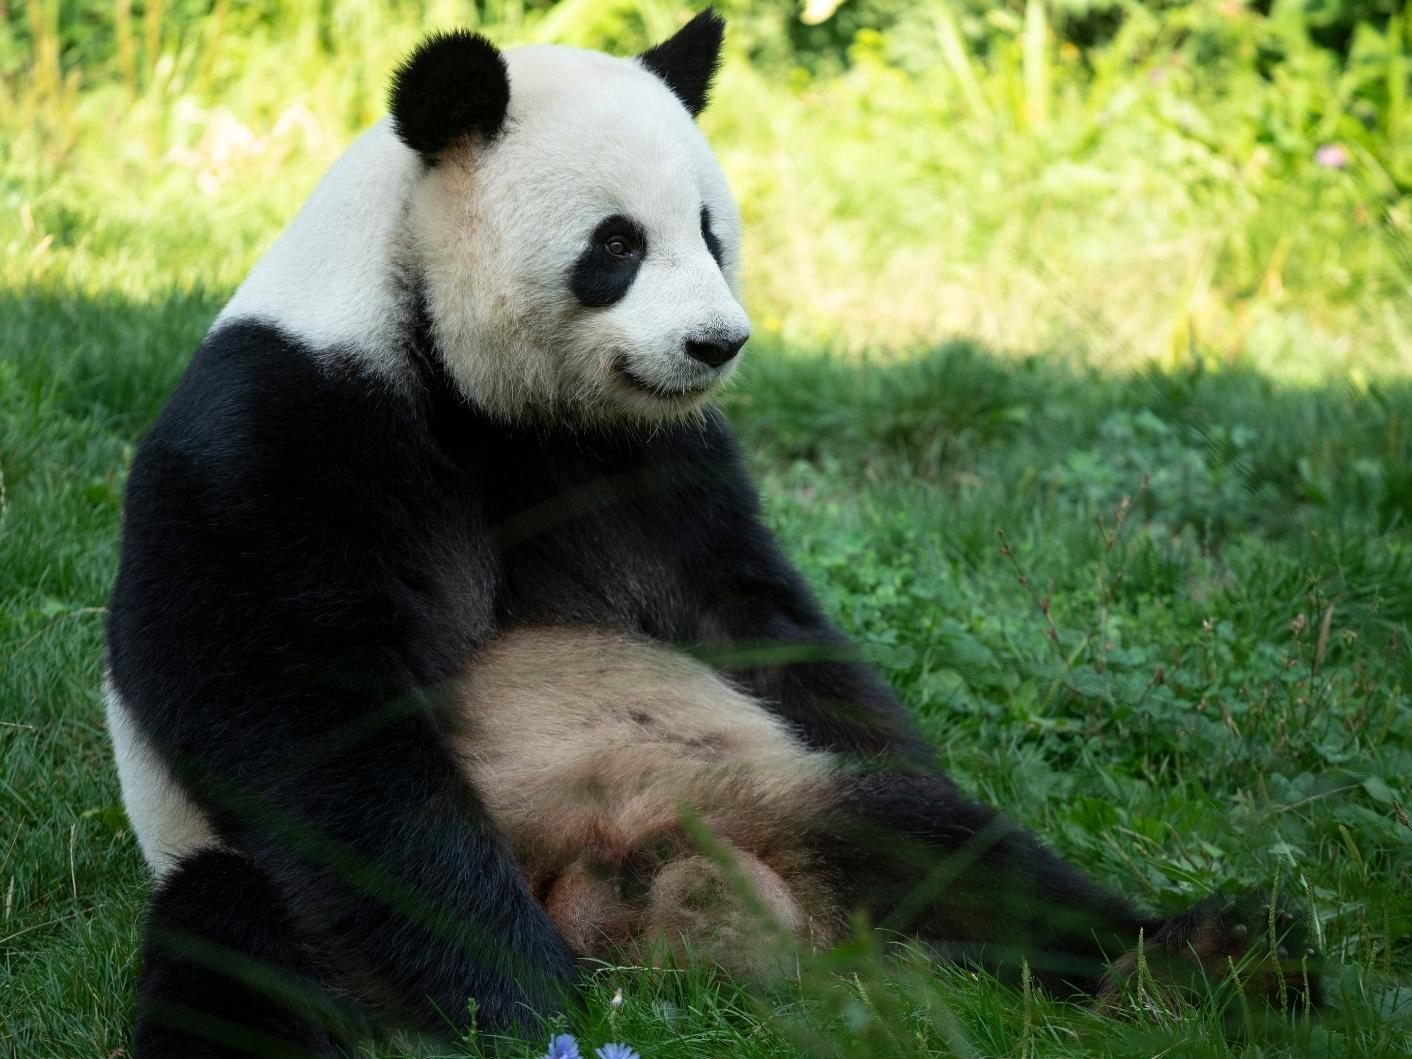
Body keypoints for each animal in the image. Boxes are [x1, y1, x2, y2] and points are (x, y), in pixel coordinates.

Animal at [104, 10, 1315, 1059]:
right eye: (616, 244)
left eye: (708, 232)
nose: (715, 344)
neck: (466, 377)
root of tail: (640, 901)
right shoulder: (289, 429)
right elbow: (299, 711)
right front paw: (524, 995)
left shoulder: (643, 458)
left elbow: (752, 617)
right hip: (295, 910)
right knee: (235, 936)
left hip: (766, 795)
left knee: (942, 848)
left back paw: (1215, 958)